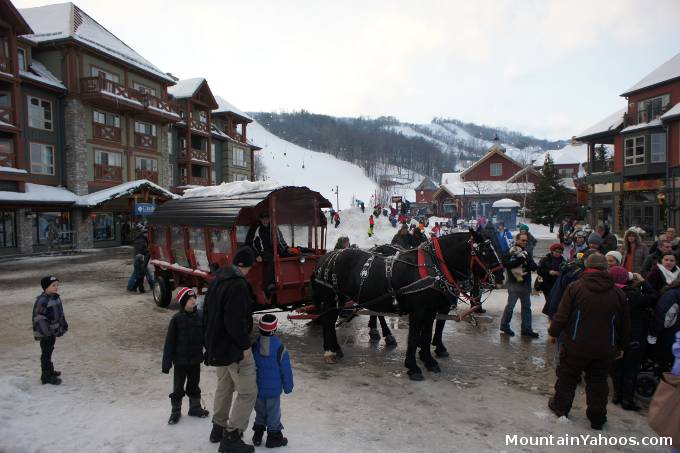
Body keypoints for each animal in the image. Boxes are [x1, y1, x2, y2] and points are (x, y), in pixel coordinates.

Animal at [310, 228, 502, 380]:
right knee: (328, 321)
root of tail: (325, 257)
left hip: (341, 299)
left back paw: (337, 348)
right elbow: (414, 337)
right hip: (331, 298)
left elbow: (427, 335)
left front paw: (429, 360)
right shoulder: (418, 311)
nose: (501, 277)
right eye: (484, 252)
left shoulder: (431, 310)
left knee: (333, 320)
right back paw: (329, 351)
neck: (434, 268)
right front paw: (413, 367)